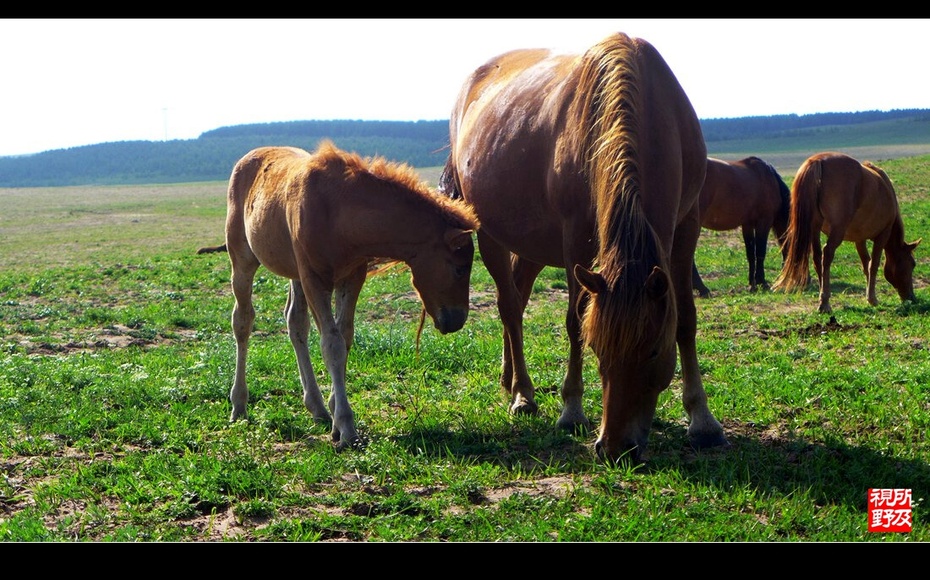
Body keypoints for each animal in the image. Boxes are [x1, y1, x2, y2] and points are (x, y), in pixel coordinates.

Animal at [201, 143, 478, 450]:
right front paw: (346, 427)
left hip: (295, 272)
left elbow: (344, 337)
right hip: (242, 258)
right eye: (459, 268)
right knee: (243, 320)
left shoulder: (351, 276)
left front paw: (335, 414)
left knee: (295, 323)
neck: (339, 213)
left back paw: (317, 407)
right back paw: (238, 405)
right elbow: (331, 343)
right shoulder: (314, 278)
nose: (456, 320)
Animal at [438, 32, 728, 466]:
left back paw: (509, 378)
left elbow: (686, 321)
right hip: (491, 234)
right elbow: (575, 320)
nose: (615, 447)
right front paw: (571, 408)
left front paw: (702, 419)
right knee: (509, 306)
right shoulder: (576, 237)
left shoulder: (686, 227)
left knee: (518, 298)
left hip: (532, 245)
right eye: (598, 350)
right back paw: (523, 393)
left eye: (653, 353)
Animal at [692, 155, 788, 296]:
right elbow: (760, 252)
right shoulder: (764, 222)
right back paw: (702, 288)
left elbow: (751, 254)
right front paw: (762, 282)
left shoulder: (747, 224)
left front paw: (752, 284)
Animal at [772, 150, 916, 312]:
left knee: (817, 257)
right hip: (837, 230)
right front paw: (872, 299)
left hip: (814, 228)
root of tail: (818, 161)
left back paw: (823, 295)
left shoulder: (859, 240)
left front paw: (869, 296)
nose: (912, 298)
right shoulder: (882, 235)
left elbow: (866, 265)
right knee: (827, 254)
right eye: (912, 264)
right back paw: (825, 301)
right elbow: (873, 265)